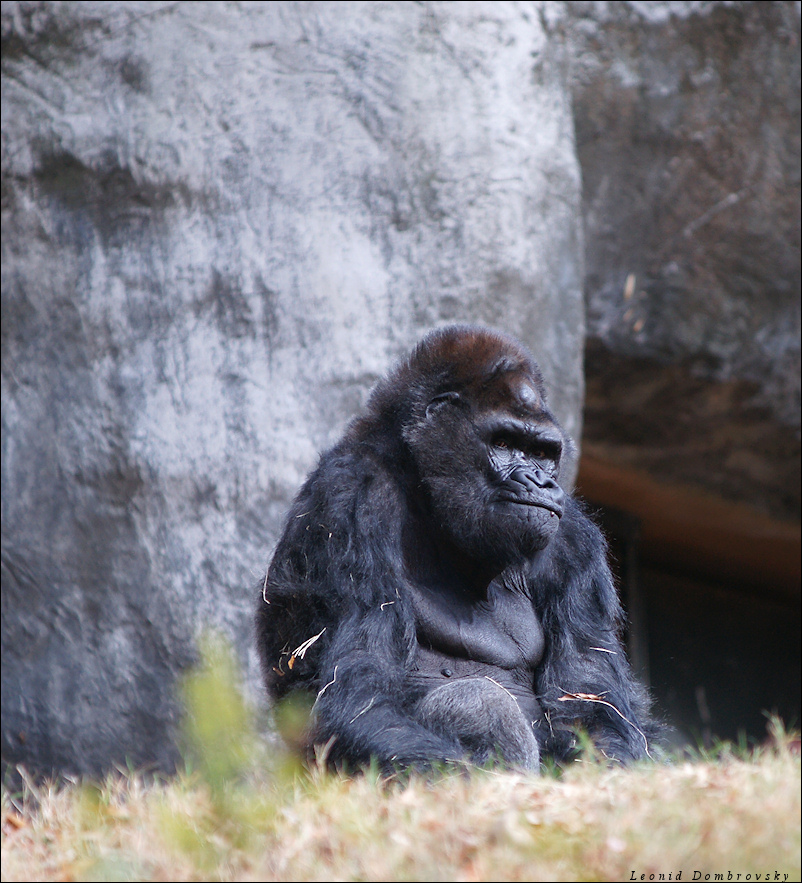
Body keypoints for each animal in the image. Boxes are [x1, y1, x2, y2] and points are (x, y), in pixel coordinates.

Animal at [256, 324, 656, 772]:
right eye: (503, 444)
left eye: (541, 452)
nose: (541, 481)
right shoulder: (349, 500)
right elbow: (356, 697)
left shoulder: (573, 540)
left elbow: (592, 706)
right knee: (475, 700)